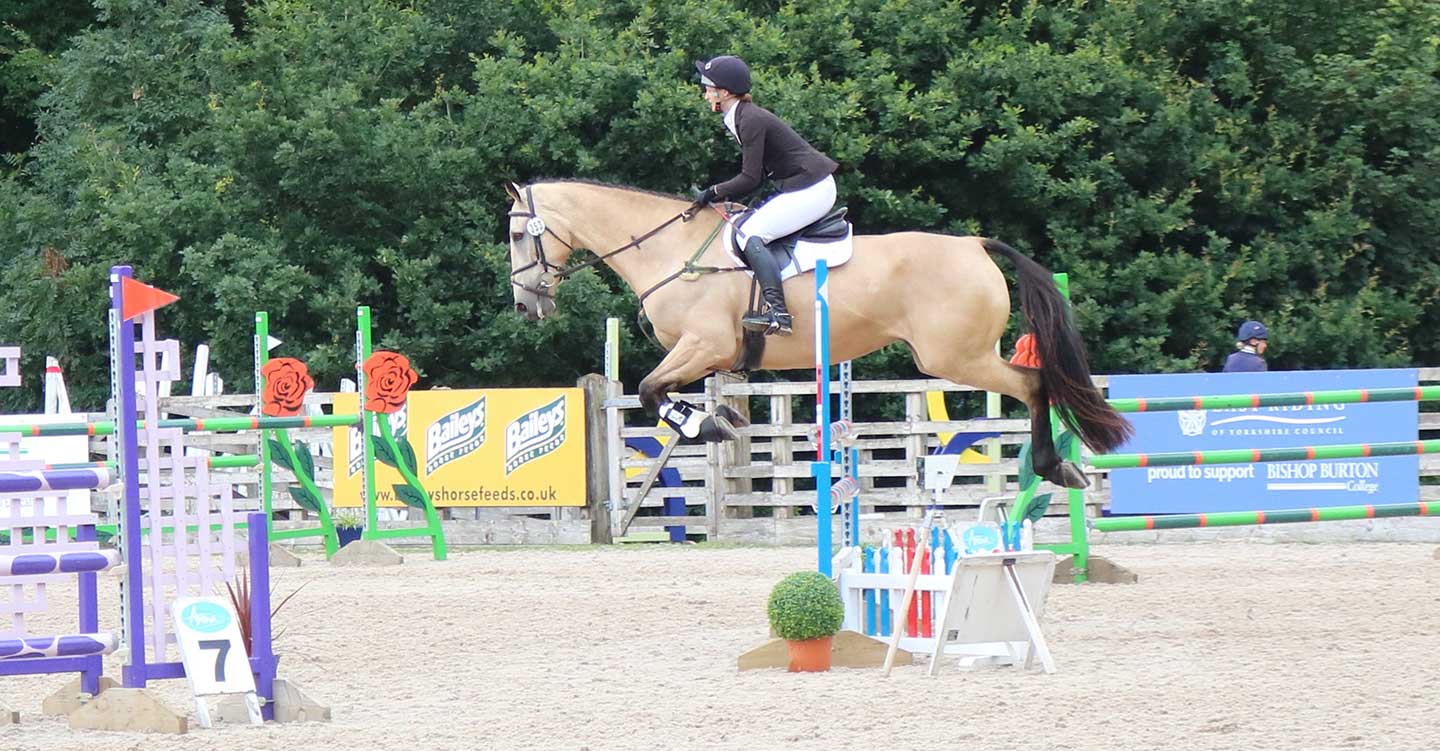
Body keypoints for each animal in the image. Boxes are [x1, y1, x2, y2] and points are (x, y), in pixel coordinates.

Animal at [501, 179, 1128, 489]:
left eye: (516, 236)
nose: (526, 305)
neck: (670, 251)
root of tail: (975, 244)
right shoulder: (708, 355)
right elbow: (665, 393)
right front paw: (718, 420)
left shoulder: (704, 345)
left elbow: (654, 391)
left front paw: (708, 425)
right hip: (960, 355)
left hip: (955, 356)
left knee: (1034, 383)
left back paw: (1055, 467)